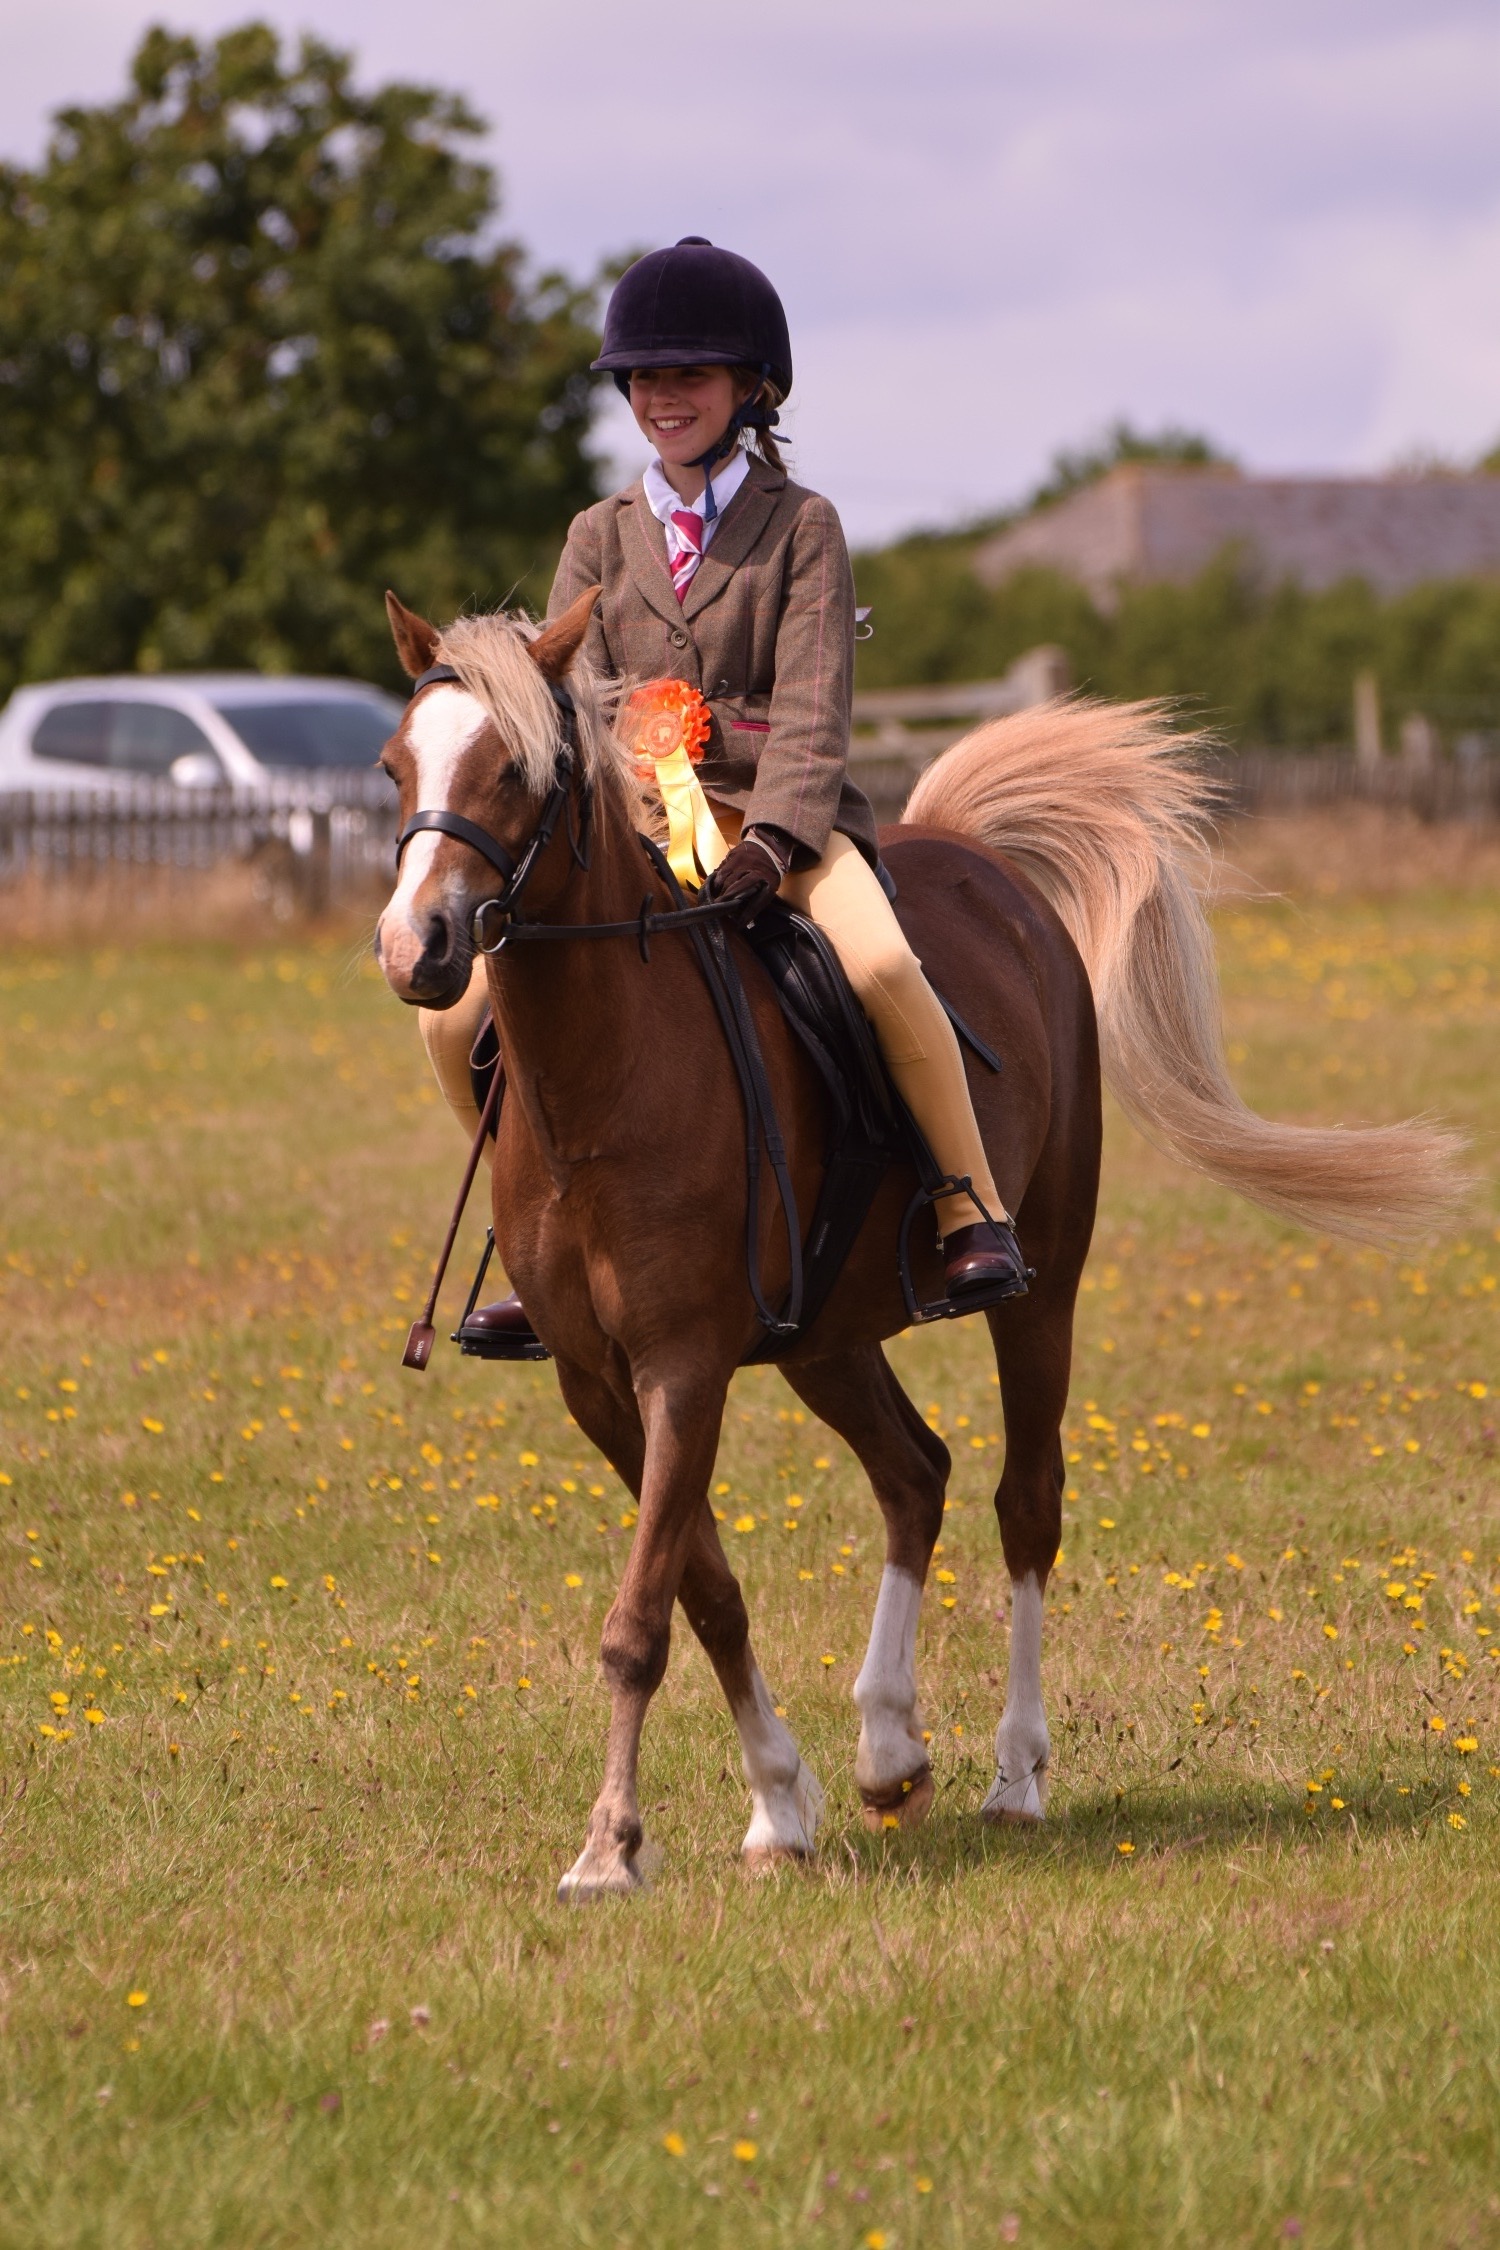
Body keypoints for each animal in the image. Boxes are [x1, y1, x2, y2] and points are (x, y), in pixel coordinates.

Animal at [374, 587, 1464, 1900]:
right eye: (396, 767)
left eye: (520, 773)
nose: (417, 948)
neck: (606, 1073)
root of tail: (970, 856)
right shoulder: (600, 1386)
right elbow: (705, 1592)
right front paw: (776, 1808)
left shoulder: (682, 1369)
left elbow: (640, 1622)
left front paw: (607, 1847)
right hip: (826, 1341)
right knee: (915, 1472)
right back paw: (888, 1748)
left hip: (1040, 1291)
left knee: (1024, 1502)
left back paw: (1013, 1778)